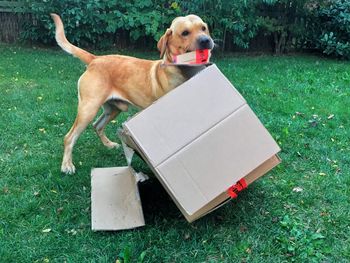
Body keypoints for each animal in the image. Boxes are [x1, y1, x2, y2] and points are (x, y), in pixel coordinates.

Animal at [49, 13, 213, 174]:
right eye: (185, 33)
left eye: (203, 28)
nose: (206, 40)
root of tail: (95, 59)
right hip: (88, 109)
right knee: (69, 137)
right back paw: (67, 165)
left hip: (113, 109)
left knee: (97, 125)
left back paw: (109, 145)